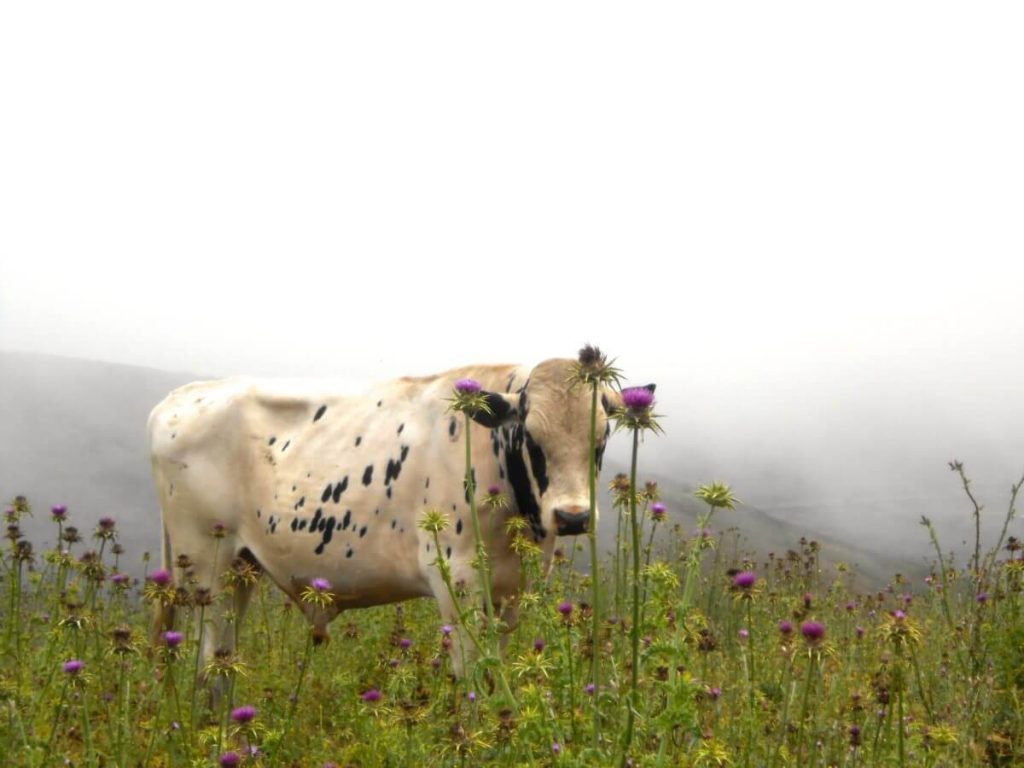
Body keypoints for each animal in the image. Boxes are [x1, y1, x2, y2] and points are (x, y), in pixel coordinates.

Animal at [148, 352, 620, 675]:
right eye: (533, 437)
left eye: (601, 439)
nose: (573, 517)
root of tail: (178, 398)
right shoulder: (457, 584)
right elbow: (472, 679)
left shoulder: (512, 592)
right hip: (206, 569)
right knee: (207, 662)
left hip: (241, 569)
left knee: (224, 660)